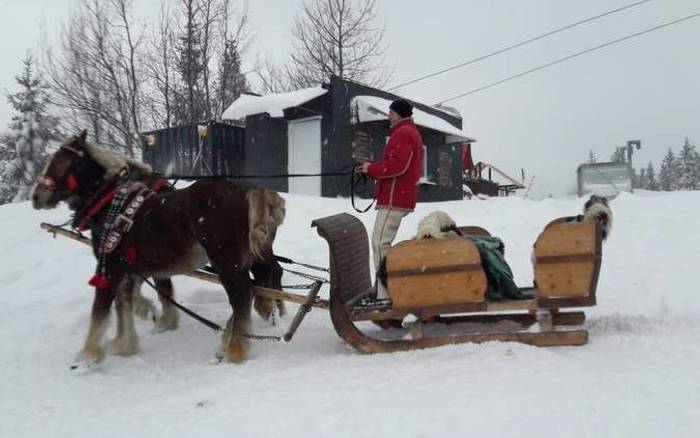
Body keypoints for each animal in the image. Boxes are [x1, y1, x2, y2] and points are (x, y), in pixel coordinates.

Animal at [31, 132, 286, 364]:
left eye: (61, 161)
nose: (36, 196)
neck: (111, 203)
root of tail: (250, 191)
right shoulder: (133, 269)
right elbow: (128, 302)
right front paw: (126, 343)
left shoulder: (111, 267)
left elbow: (102, 308)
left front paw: (89, 354)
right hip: (251, 257)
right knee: (262, 282)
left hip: (227, 263)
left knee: (242, 295)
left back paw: (234, 350)